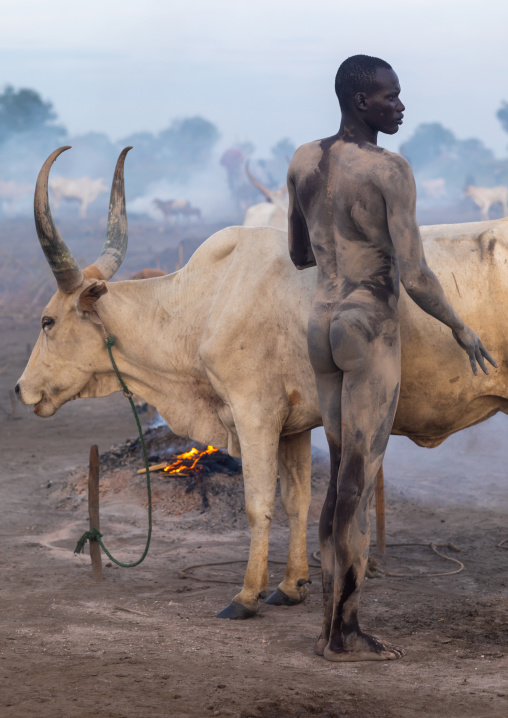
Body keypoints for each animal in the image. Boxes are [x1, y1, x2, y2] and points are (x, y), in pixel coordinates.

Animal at [17, 146, 508, 626]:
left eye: (47, 321)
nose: (22, 389)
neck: (209, 301)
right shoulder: (294, 424)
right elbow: (297, 500)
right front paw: (291, 587)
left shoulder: (254, 414)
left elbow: (258, 504)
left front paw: (247, 594)